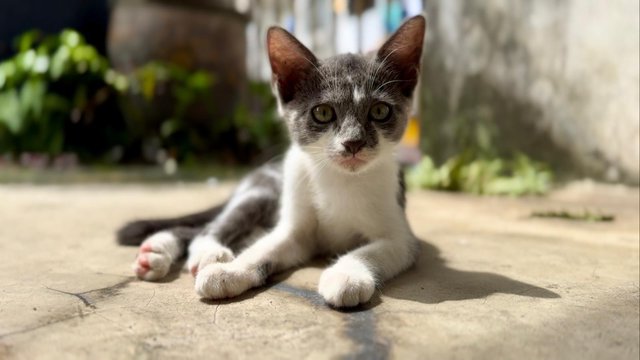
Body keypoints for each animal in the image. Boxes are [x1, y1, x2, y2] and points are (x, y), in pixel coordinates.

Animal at [117, 14, 428, 306]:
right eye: (323, 113)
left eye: (380, 111)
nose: (353, 142)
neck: (339, 180)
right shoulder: (295, 231)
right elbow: (264, 249)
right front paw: (230, 272)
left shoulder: (401, 237)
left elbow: (371, 250)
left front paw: (347, 274)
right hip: (261, 193)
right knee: (210, 227)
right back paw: (205, 253)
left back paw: (156, 252)